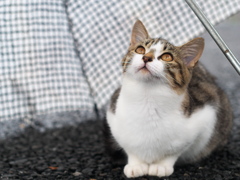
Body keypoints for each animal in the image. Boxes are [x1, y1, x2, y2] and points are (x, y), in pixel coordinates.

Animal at [103, 20, 232, 178]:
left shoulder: (207, 114)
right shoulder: (113, 116)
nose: (146, 57)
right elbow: (130, 147)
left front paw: (161, 166)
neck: (147, 98)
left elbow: (174, 151)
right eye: (140, 49)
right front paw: (136, 164)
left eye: (167, 57)